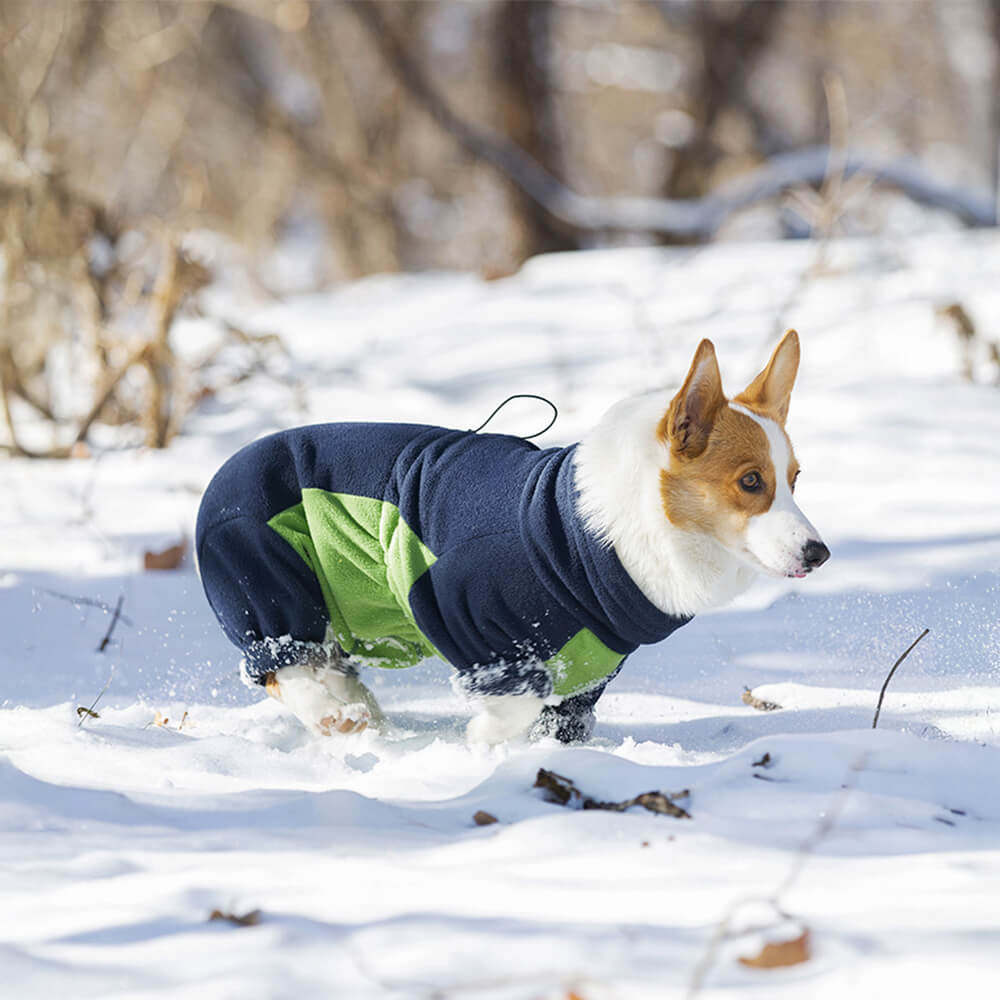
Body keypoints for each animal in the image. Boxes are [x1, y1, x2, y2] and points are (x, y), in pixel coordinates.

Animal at [195, 330, 828, 744]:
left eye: (796, 479)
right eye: (751, 481)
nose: (820, 554)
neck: (596, 538)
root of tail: (225, 470)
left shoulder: (586, 671)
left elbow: (559, 721)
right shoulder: (474, 627)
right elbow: (512, 708)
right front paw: (482, 744)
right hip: (269, 589)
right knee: (285, 669)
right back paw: (340, 714)